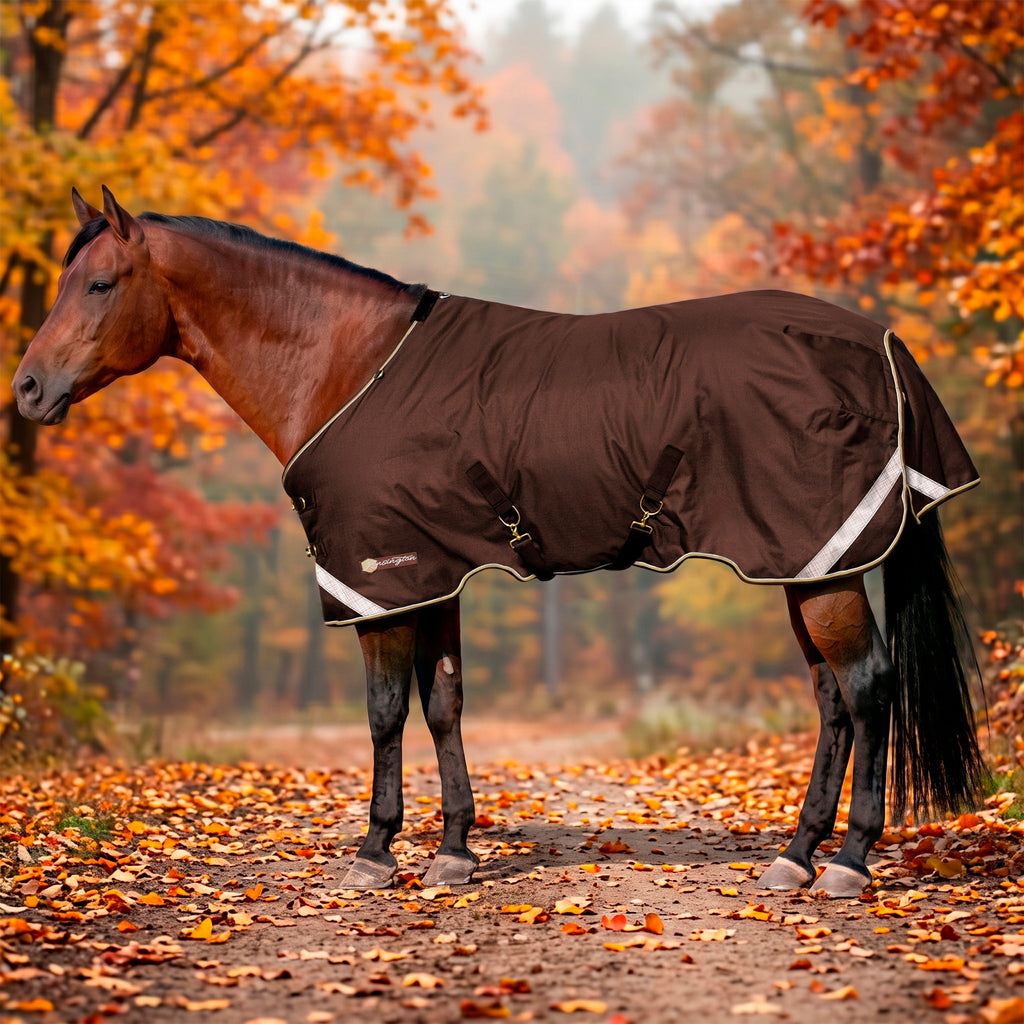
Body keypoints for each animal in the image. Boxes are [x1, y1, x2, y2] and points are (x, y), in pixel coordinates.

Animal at [12, 187, 985, 898]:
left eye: (99, 284)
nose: (25, 389)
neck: (347, 366)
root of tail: (881, 343)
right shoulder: (429, 573)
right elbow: (443, 705)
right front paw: (452, 850)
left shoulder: (377, 577)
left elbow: (384, 712)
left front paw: (375, 851)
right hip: (805, 563)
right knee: (832, 701)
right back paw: (796, 854)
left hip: (819, 564)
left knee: (868, 688)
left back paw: (848, 862)